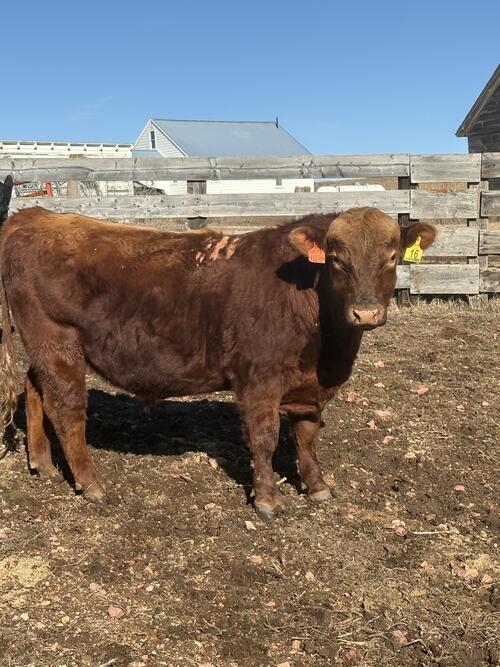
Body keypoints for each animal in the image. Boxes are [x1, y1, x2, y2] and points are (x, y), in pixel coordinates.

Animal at [0, 200, 436, 520]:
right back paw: (91, 484)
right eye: (336, 260)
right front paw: (267, 500)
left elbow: (307, 434)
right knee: (66, 409)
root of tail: (33, 216)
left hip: (44, 346)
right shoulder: (258, 381)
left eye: (392, 257)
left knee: (34, 388)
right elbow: (264, 439)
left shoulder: (310, 388)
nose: (365, 313)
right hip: (57, 339)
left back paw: (43, 464)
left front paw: (317, 486)